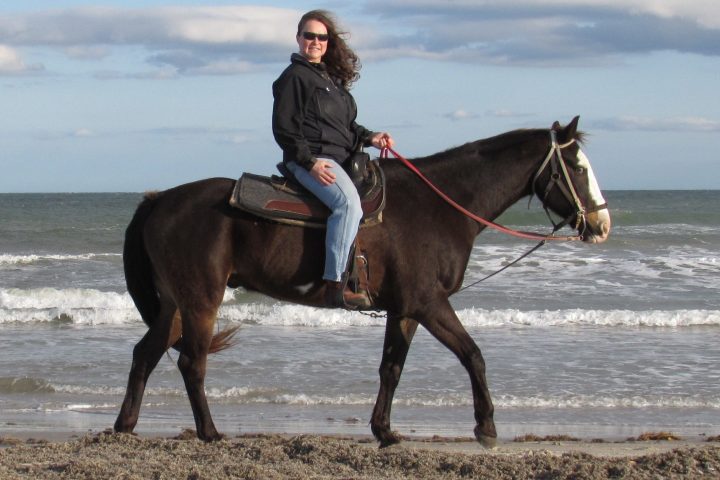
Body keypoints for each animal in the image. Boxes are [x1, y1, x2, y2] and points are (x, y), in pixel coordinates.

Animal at [114, 116, 611, 448]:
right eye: (578, 167)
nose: (601, 224)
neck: (440, 206)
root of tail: (160, 199)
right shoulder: (429, 303)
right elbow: (473, 355)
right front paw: (486, 428)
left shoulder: (405, 309)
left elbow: (392, 368)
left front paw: (385, 431)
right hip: (201, 301)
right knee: (191, 364)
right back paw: (210, 433)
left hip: (174, 305)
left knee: (145, 355)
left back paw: (125, 427)